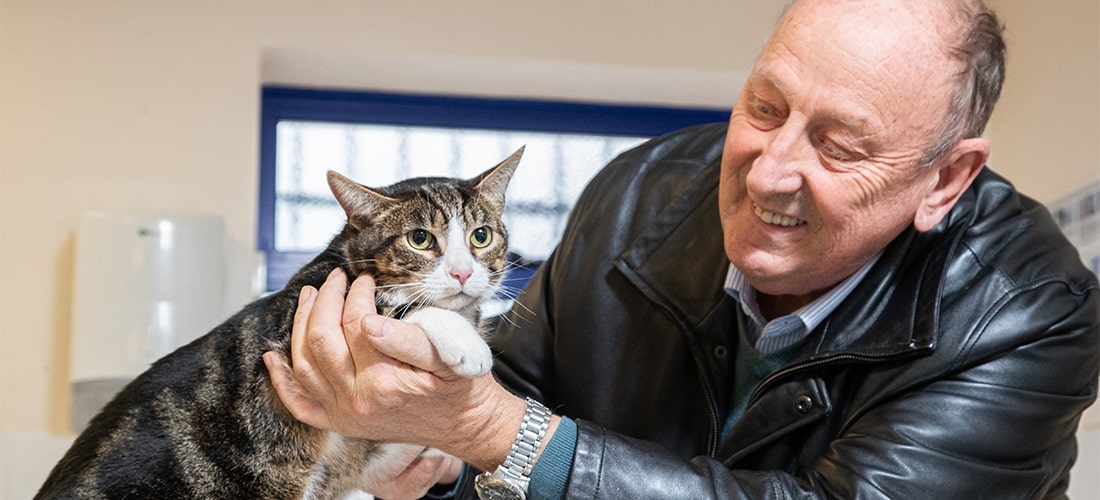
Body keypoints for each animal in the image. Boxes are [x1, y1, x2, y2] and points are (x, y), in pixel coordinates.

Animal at [36, 147, 525, 498]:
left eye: (481, 236)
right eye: (420, 239)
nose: (462, 273)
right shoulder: (298, 313)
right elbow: (395, 301)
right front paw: (466, 342)